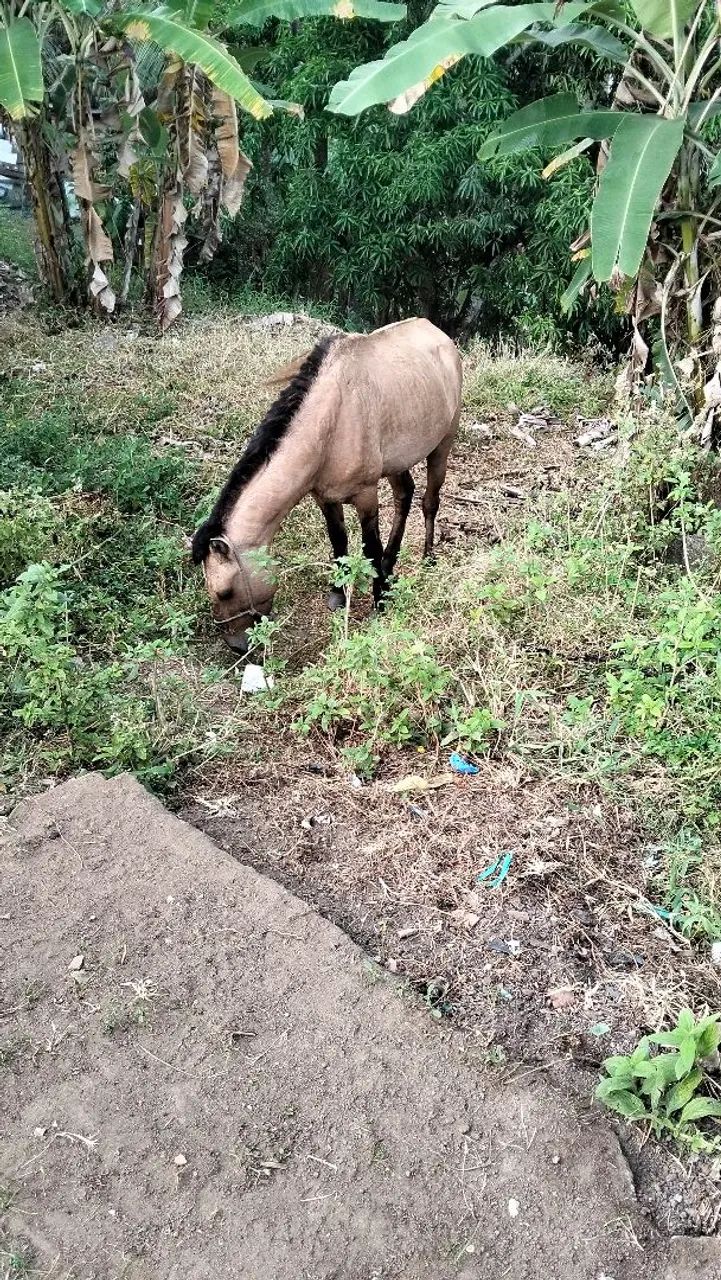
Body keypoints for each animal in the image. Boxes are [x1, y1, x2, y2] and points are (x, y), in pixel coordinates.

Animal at [191, 317, 462, 653]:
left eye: (225, 592)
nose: (238, 646)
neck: (331, 422)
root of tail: (437, 333)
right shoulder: (324, 497)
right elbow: (339, 541)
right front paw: (338, 591)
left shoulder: (366, 495)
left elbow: (369, 546)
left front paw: (379, 603)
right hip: (397, 461)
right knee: (404, 495)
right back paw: (390, 565)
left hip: (442, 445)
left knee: (429, 501)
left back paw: (427, 558)